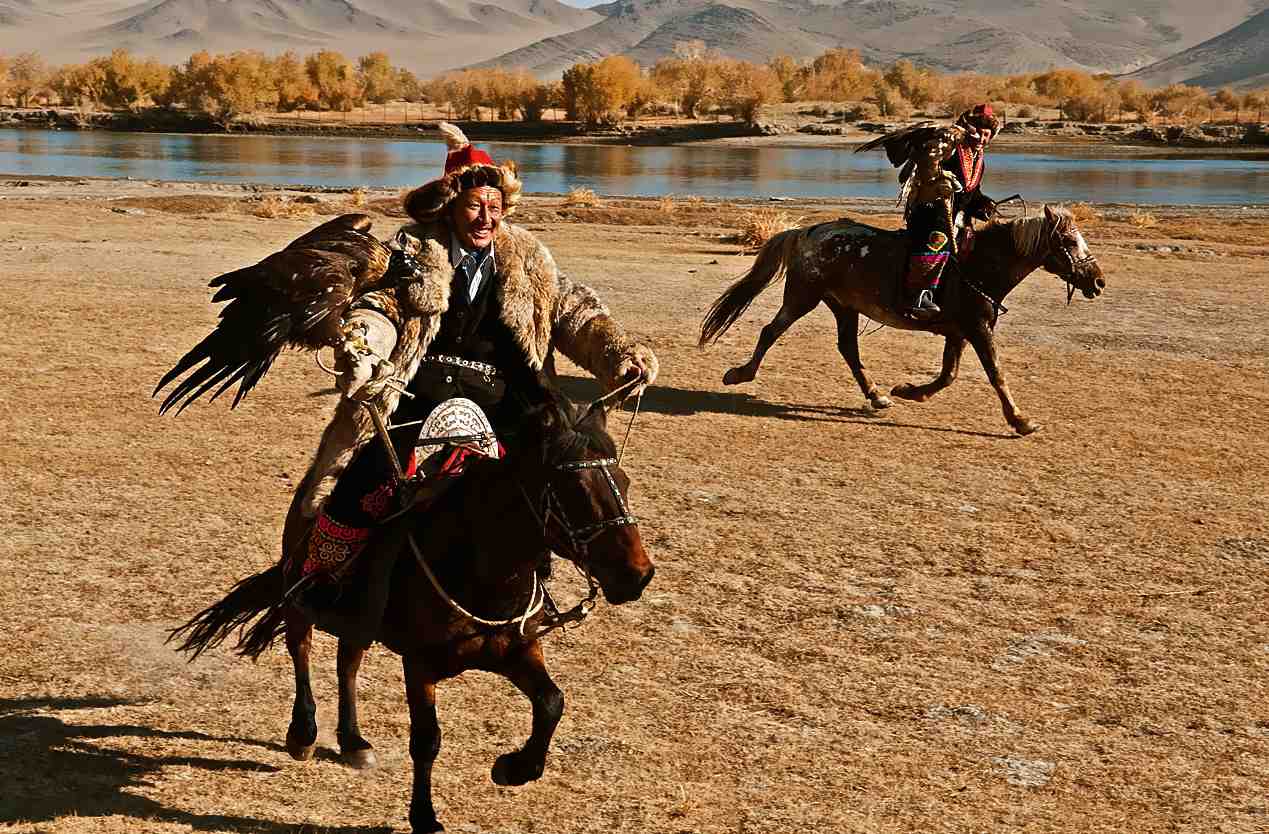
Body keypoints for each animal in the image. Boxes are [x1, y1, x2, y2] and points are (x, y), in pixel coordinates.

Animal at [171, 388, 655, 833]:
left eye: (626, 482)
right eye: (575, 490)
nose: (637, 575)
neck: (480, 567)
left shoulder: (516, 650)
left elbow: (552, 702)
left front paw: (513, 769)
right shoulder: (419, 664)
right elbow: (427, 739)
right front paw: (424, 817)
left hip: (360, 617)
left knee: (348, 660)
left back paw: (353, 742)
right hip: (301, 597)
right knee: (301, 649)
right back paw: (303, 734)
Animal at [699, 205, 1105, 435]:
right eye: (1069, 242)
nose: (1098, 281)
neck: (980, 265)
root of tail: (807, 232)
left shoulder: (959, 332)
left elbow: (948, 375)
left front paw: (910, 391)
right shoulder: (978, 329)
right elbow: (996, 375)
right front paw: (1021, 421)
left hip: (843, 306)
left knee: (848, 348)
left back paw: (877, 395)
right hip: (803, 297)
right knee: (771, 330)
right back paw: (739, 373)